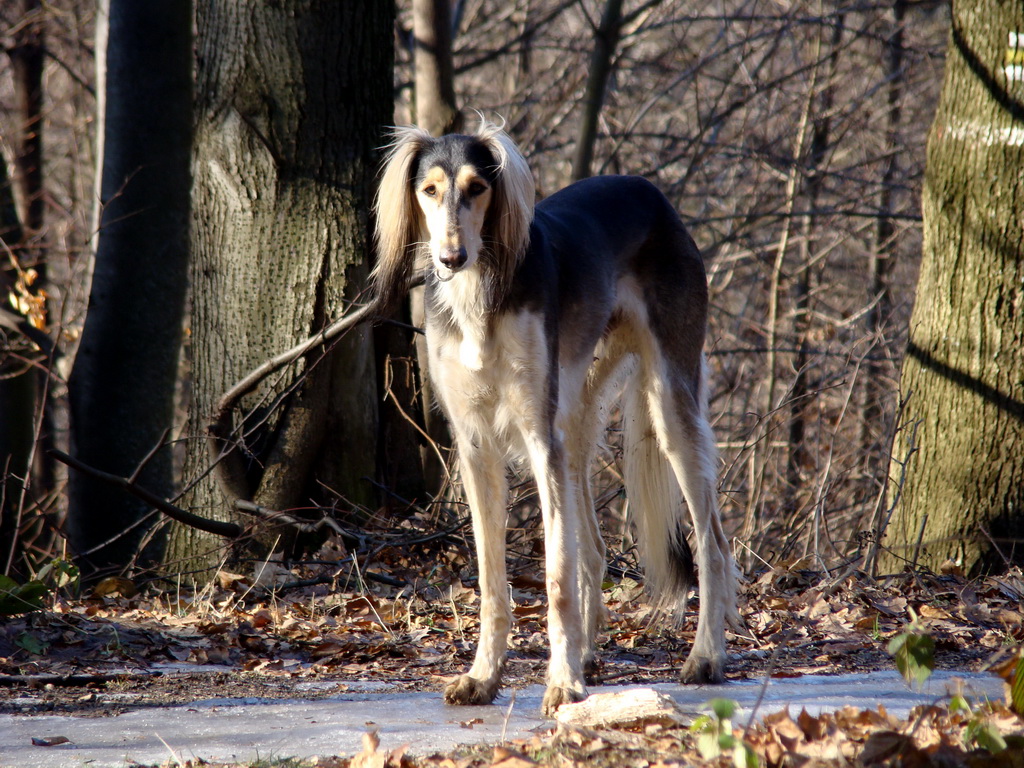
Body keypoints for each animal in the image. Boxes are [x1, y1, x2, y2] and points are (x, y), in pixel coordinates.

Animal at [374, 120, 737, 716]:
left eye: (478, 188)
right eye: (428, 190)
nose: (452, 257)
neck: (479, 295)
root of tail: (650, 191)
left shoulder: (539, 437)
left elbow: (556, 573)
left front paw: (563, 683)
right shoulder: (475, 445)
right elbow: (491, 577)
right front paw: (484, 675)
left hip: (667, 402)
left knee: (712, 544)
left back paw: (706, 654)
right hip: (579, 413)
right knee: (594, 547)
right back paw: (589, 650)